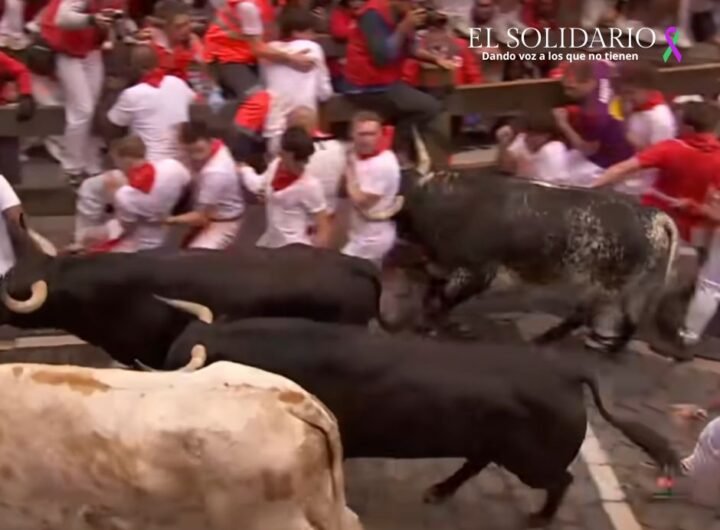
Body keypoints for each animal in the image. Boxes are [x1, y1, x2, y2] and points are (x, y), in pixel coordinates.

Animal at [152, 314, 680, 524]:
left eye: (179, 363)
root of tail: (568, 373)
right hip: (495, 445)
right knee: (475, 464)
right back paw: (438, 491)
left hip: (532, 461)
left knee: (562, 480)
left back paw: (538, 519)